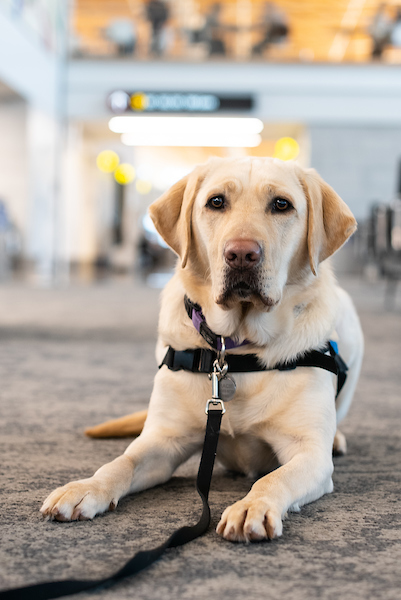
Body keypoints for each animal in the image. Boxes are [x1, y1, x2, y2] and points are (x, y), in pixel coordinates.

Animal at [40, 157, 362, 540]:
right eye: (216, 202)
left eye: (282, 205)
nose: (241, 254)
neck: (236, 351)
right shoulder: (163, 440)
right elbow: (121, 462)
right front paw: (86, 487)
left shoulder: (309, 453)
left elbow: (273, 478)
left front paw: (252, 505)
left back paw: (338, 438)